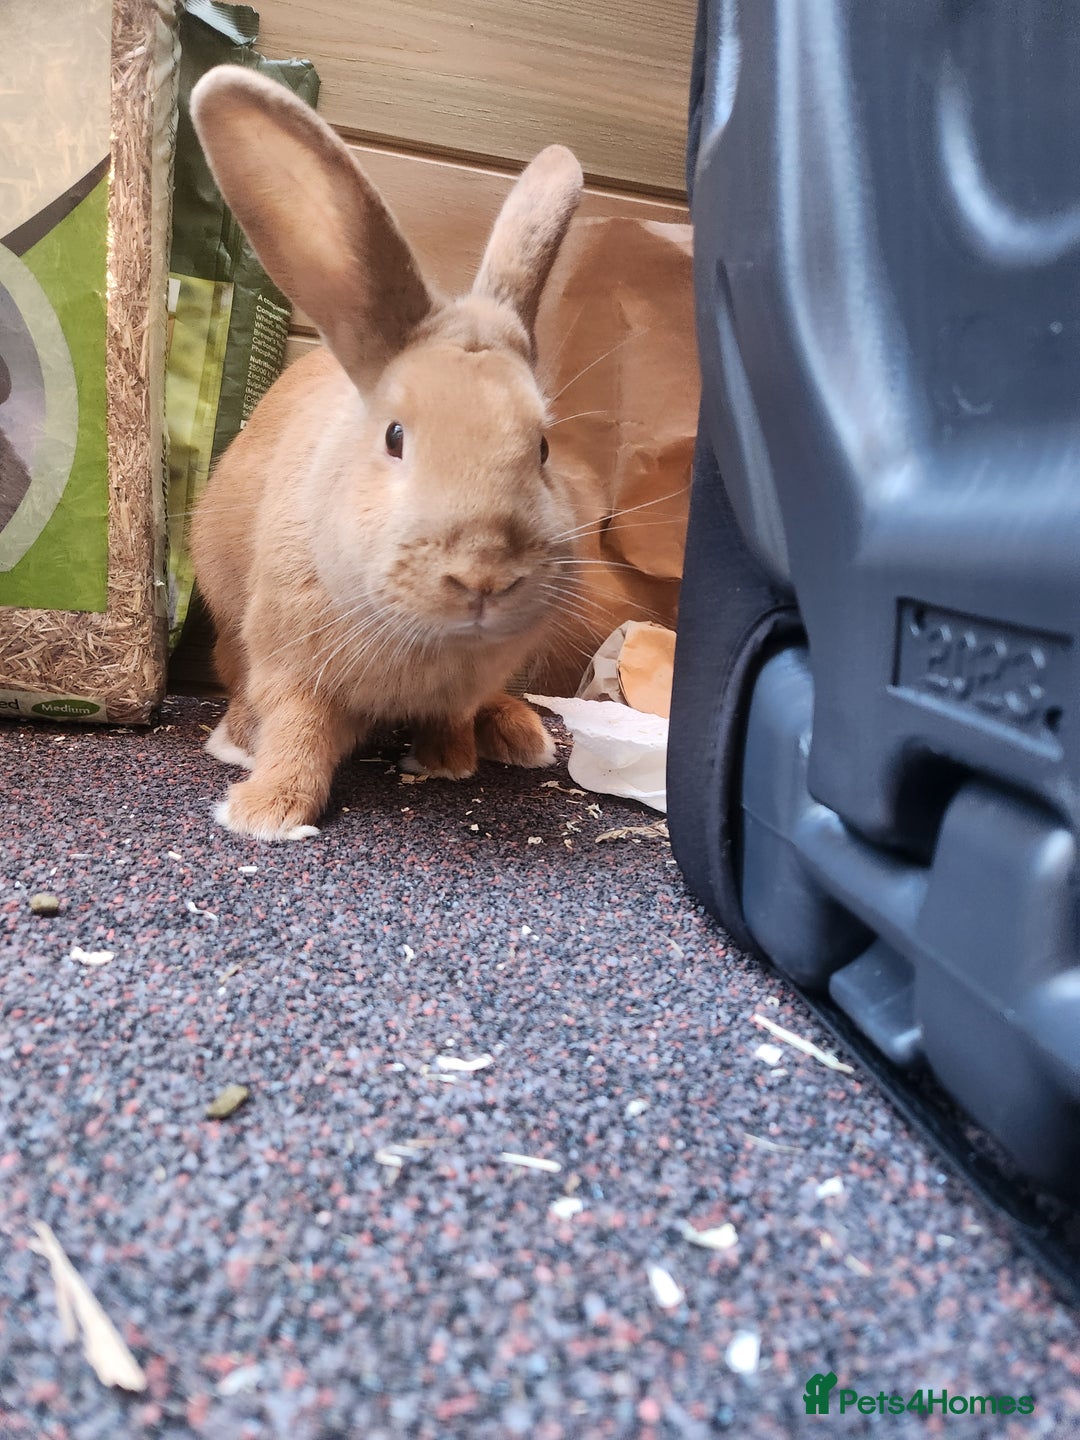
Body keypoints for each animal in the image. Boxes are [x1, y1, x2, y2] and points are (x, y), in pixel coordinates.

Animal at [189, 67, 585, 841]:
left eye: (545, 445)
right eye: (396, 437)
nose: (484, 575)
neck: (429, 643)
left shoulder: (465, 683)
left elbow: (453, 715)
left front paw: (448, 763)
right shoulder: (290, 661)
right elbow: (299, 731)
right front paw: (266, 812)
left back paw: (520, 733)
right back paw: (236, 738)